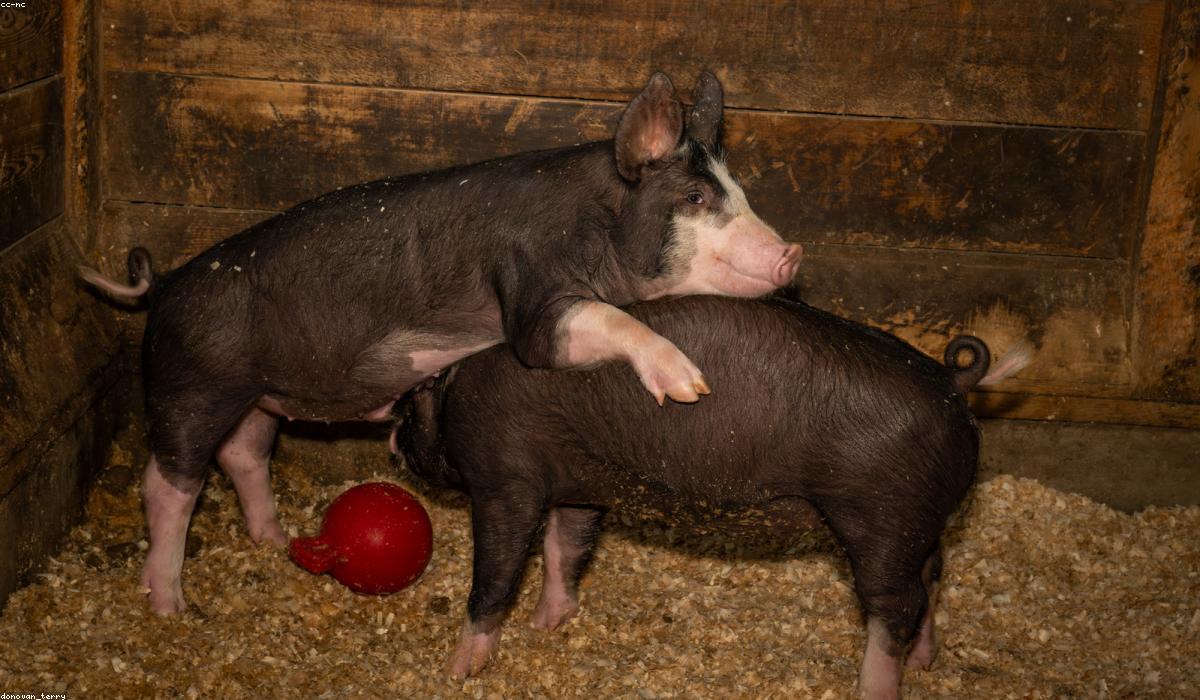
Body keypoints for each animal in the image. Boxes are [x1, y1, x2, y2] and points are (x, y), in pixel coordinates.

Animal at [78, 71, 803, 615]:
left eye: (737, 189)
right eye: (695, 196)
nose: (792, 253)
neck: (599, 218)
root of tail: (166, 283)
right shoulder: (530, 293)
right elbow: (585, 325)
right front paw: (689, 385)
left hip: (256, 393)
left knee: (245, 453)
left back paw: (272, 539)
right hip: (190, 384)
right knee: (167, 482)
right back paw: (169, 604)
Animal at [393, 295, 1030, 699]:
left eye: (406, 410)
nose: (392, 442)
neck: (455, 397)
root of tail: (952, 381)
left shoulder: (505, 479)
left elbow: (497, 572)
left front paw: (455, 672)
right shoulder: (580, 480)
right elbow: (566, 547)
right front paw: (546, 625)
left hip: (880, 516)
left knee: (893, 604)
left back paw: (873, 689)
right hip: (917, 520)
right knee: (932, 575)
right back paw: (925, 660)